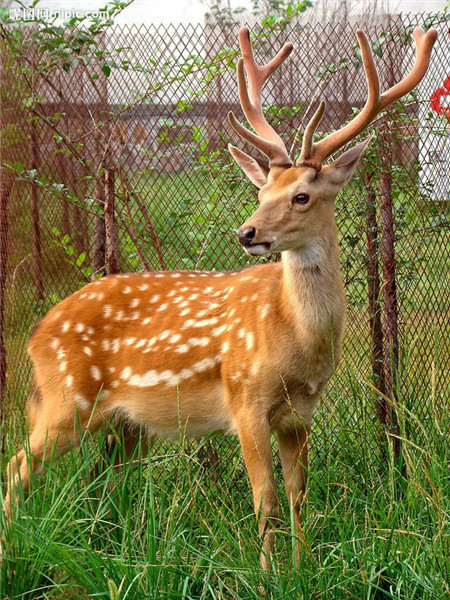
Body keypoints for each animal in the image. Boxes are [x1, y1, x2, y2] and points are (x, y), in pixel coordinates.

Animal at [4, 23, 436, 568]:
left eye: (301, 196)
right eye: (261, 192)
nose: (247, 232)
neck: (296, 340)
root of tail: (36, 334)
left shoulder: (301, 413)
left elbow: (298, 494)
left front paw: (303, 567)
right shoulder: (244, 397)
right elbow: (265, 499)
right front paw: (269, 574)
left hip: (125, 425)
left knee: (100, 480)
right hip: (65, 398)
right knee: (18, 467)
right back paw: (14, 550)